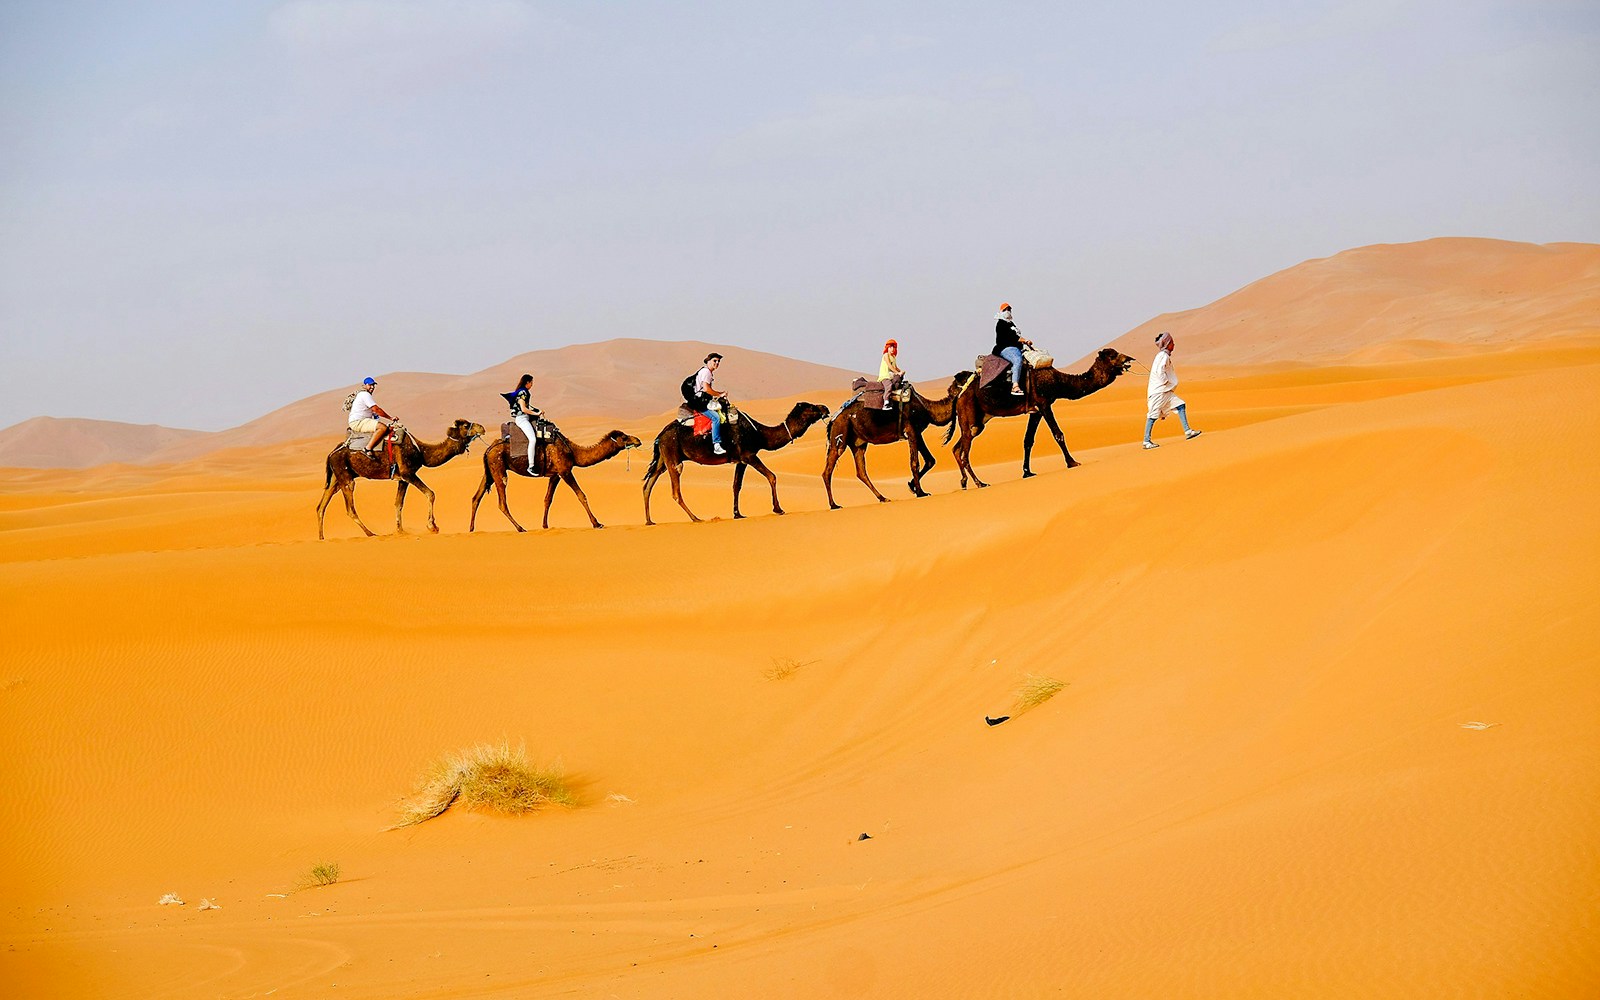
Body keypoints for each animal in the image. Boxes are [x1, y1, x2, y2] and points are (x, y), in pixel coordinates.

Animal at [316, 419, 486, 539]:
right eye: (466, 425)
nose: (482, 428)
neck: (422, 451)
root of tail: (331, 454)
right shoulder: (408, 473)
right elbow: (430, 493)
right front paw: (432, 527)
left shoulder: (402, 479)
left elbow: (398, 503)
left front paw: (400, 531)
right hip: (345, 477)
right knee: (350, 508)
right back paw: (371, 534)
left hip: (336, 478)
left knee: (321, 506)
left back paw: (321, 537)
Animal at [467, 428, 643, 532]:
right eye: (624, 437)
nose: (638, 440)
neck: (573, 452)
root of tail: (488, 449)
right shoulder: (565, 471)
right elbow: (581, 495)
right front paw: (596, 523)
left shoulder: (555, 474)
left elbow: (547, 499)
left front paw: (545, 526)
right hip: (498, 468)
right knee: (501, 503)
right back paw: (520, 528)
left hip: (490, 472)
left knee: (476, 497)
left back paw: (471, 528)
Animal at [642, 401, 830, 525]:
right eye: (812, 407)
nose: (825, 408)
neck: (760, 433)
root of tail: (660, 435)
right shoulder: (749, 455)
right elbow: (772, 476)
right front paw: (778, 509)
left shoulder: (741, 460)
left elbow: (736, 485)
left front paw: (737, 513)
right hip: (673, 456)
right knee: (675, 491)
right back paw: (695, 518)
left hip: (662, 460)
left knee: (648, 486)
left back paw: (650, 521)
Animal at [821, 383, 959, 509]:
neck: (927, 408)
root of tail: (833, 419)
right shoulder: (911, 430)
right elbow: (915, 463)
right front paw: (920, 492)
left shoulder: (918, 432)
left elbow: (930, 460)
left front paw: (912, 486)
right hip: (840, 433)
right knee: (828, 471)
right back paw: (834, 505)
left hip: (858, 443)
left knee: (861, 472)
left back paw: (883, 498)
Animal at [943, 348, 1135, 489]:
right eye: (1112, 355)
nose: (1129, 359)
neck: (1058, 381)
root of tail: (959, 395)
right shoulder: (1044, 404)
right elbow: (1058, 434)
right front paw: (1072, 462)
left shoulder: (1035, 411)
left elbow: (1028, 440)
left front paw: (1027, 472)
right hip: (969, 416)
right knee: (964, 453)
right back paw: (980, 483)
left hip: (979, 421)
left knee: (957, 448)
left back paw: (964, 482)